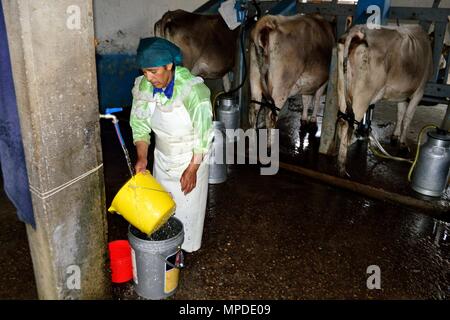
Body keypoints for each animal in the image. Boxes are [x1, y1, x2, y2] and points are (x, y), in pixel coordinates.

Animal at [338, 24, 432, 175]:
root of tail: (358, 30)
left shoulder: (402, 95)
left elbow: (400, 114)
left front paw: (395, 136)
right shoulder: (419, 91)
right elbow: (407, 118)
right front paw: (403, 145)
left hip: (342, 86)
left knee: (342, 121)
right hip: (362, 94)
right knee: (348, 123)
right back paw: (342, 167)